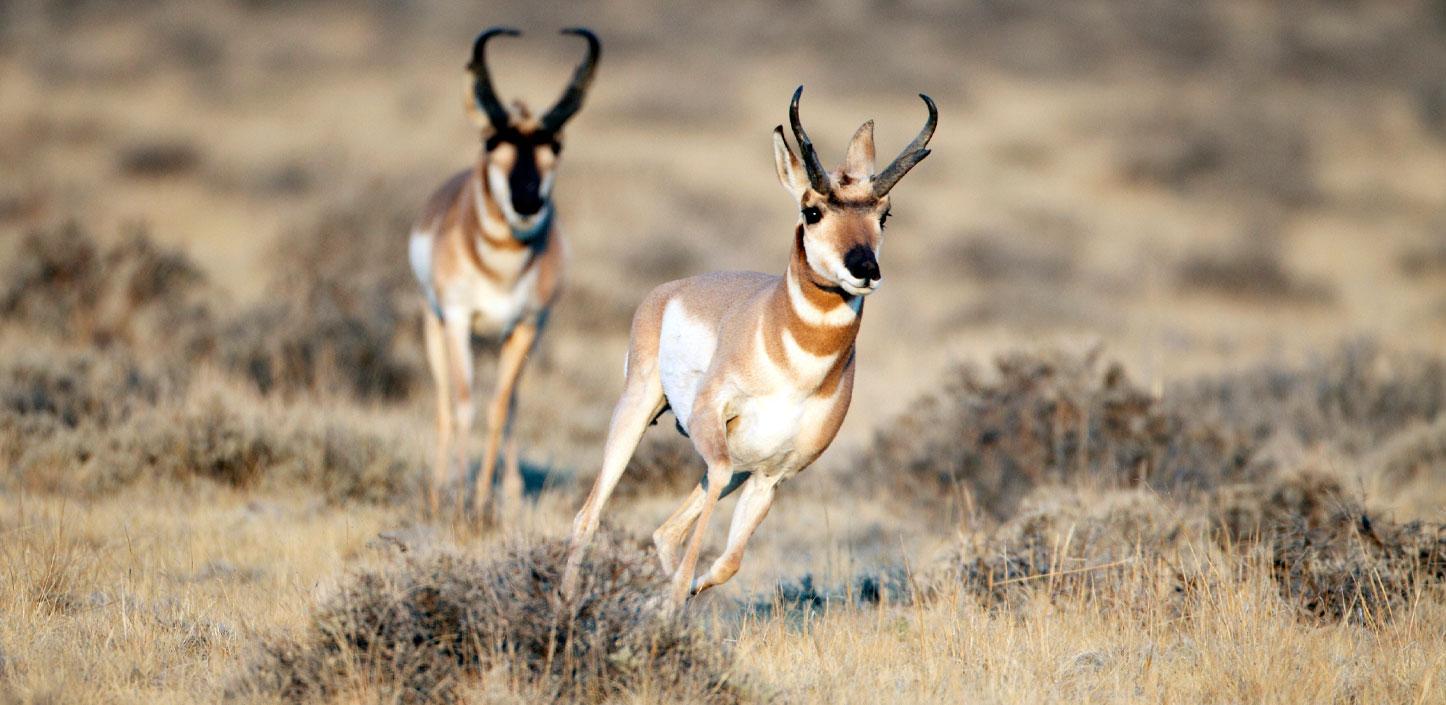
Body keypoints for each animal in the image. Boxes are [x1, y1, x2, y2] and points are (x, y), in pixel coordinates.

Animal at [410, 27, 601, 517]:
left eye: (555, 146)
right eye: (491, 143)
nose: (528, 201)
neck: (502, 267)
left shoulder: (527, 326)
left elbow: (499, 407)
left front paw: (482, 500)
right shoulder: (458, 321)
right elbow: (464, 406)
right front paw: (460, 499)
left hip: (514, 338)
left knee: (512, 401)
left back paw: (510, 491)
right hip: (435, 326)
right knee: (444, 404)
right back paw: (438, 491)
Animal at [563, 88, 937, 603]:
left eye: (884, 214)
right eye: (812, 211)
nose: (865, 268)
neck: (795, 366)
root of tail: (671, 290)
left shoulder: (771, 476)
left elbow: (728, 563)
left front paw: (675, 597)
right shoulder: (715, 434)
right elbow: (703, 540)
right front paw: (670, 599)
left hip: (739, 463)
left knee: (665, 532)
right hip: (637, 413)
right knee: (589, 516)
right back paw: (565, 604)